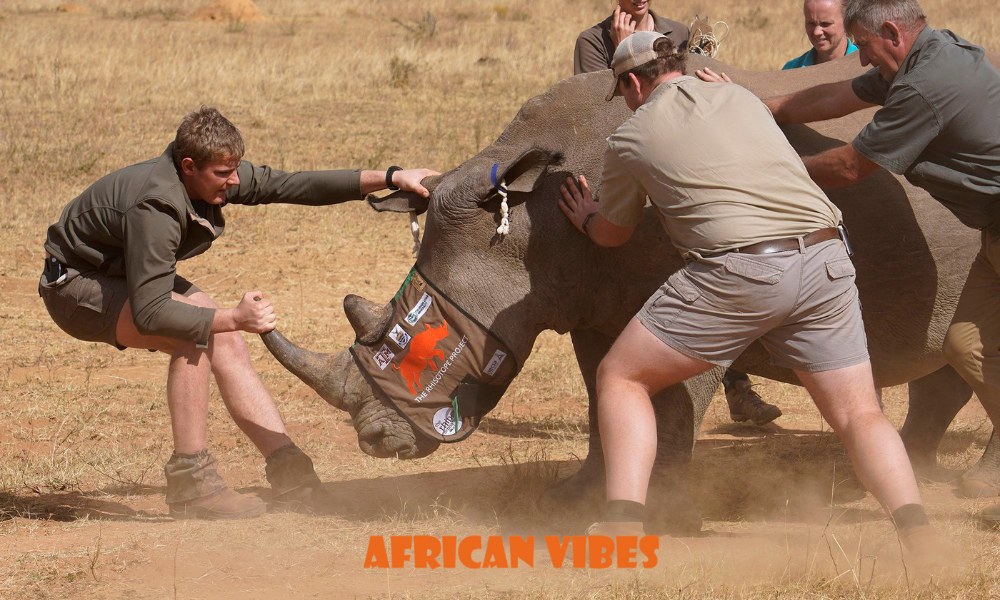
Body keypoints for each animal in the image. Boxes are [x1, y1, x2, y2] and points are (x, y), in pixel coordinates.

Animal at [261, 54, 1000, 532]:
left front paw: (662, 512)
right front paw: (572, 499)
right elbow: (599, 394)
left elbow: (671, 401)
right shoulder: (590, 301)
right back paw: (910, 469)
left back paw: (970, 484)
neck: (524, 223)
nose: (375, 443)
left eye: (415, 342)